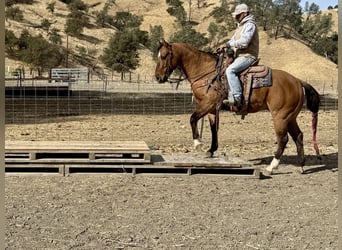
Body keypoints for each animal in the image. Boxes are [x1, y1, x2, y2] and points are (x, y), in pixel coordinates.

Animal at [155, 40, 320, 175]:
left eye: (164, 56)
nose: (158, 77)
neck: (206, 72)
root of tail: (297, 81)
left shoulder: (207, 104)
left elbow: (192, 118)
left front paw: (197, 143)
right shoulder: (212, 109)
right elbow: (214, 129)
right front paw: (211, 150)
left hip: (280, 116)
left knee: (283, 139)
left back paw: (271, 167)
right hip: (290, 117)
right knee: (298, 136)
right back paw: (301, 166)